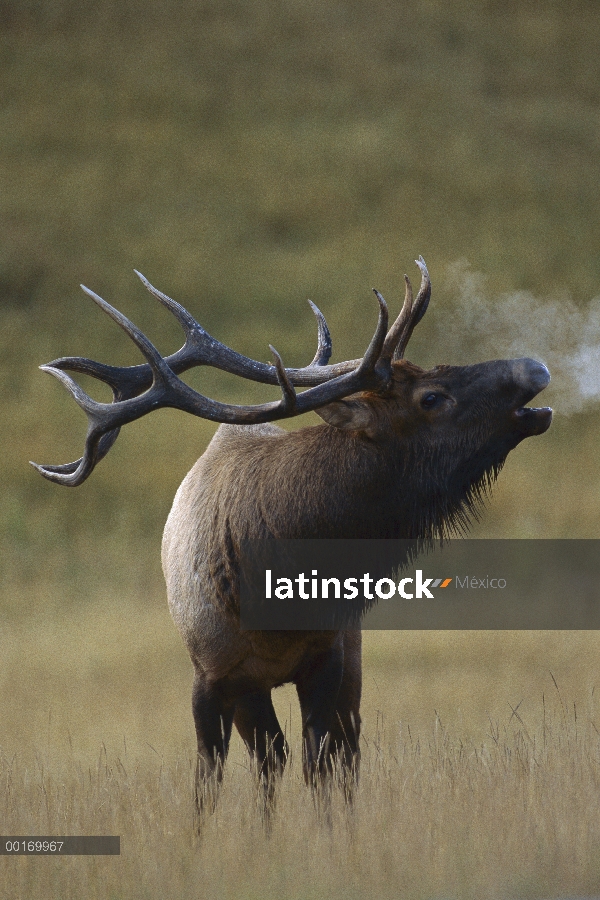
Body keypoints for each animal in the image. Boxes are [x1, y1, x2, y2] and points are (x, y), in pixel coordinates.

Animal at [30, 258, 552, 808]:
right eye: (431, 397)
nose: (534, 368)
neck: (274, 594)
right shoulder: (212, 673)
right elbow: (209, 778)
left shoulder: (327, 658)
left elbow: (319, 764)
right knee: (270, 757)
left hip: (348, 658)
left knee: (340, 753)